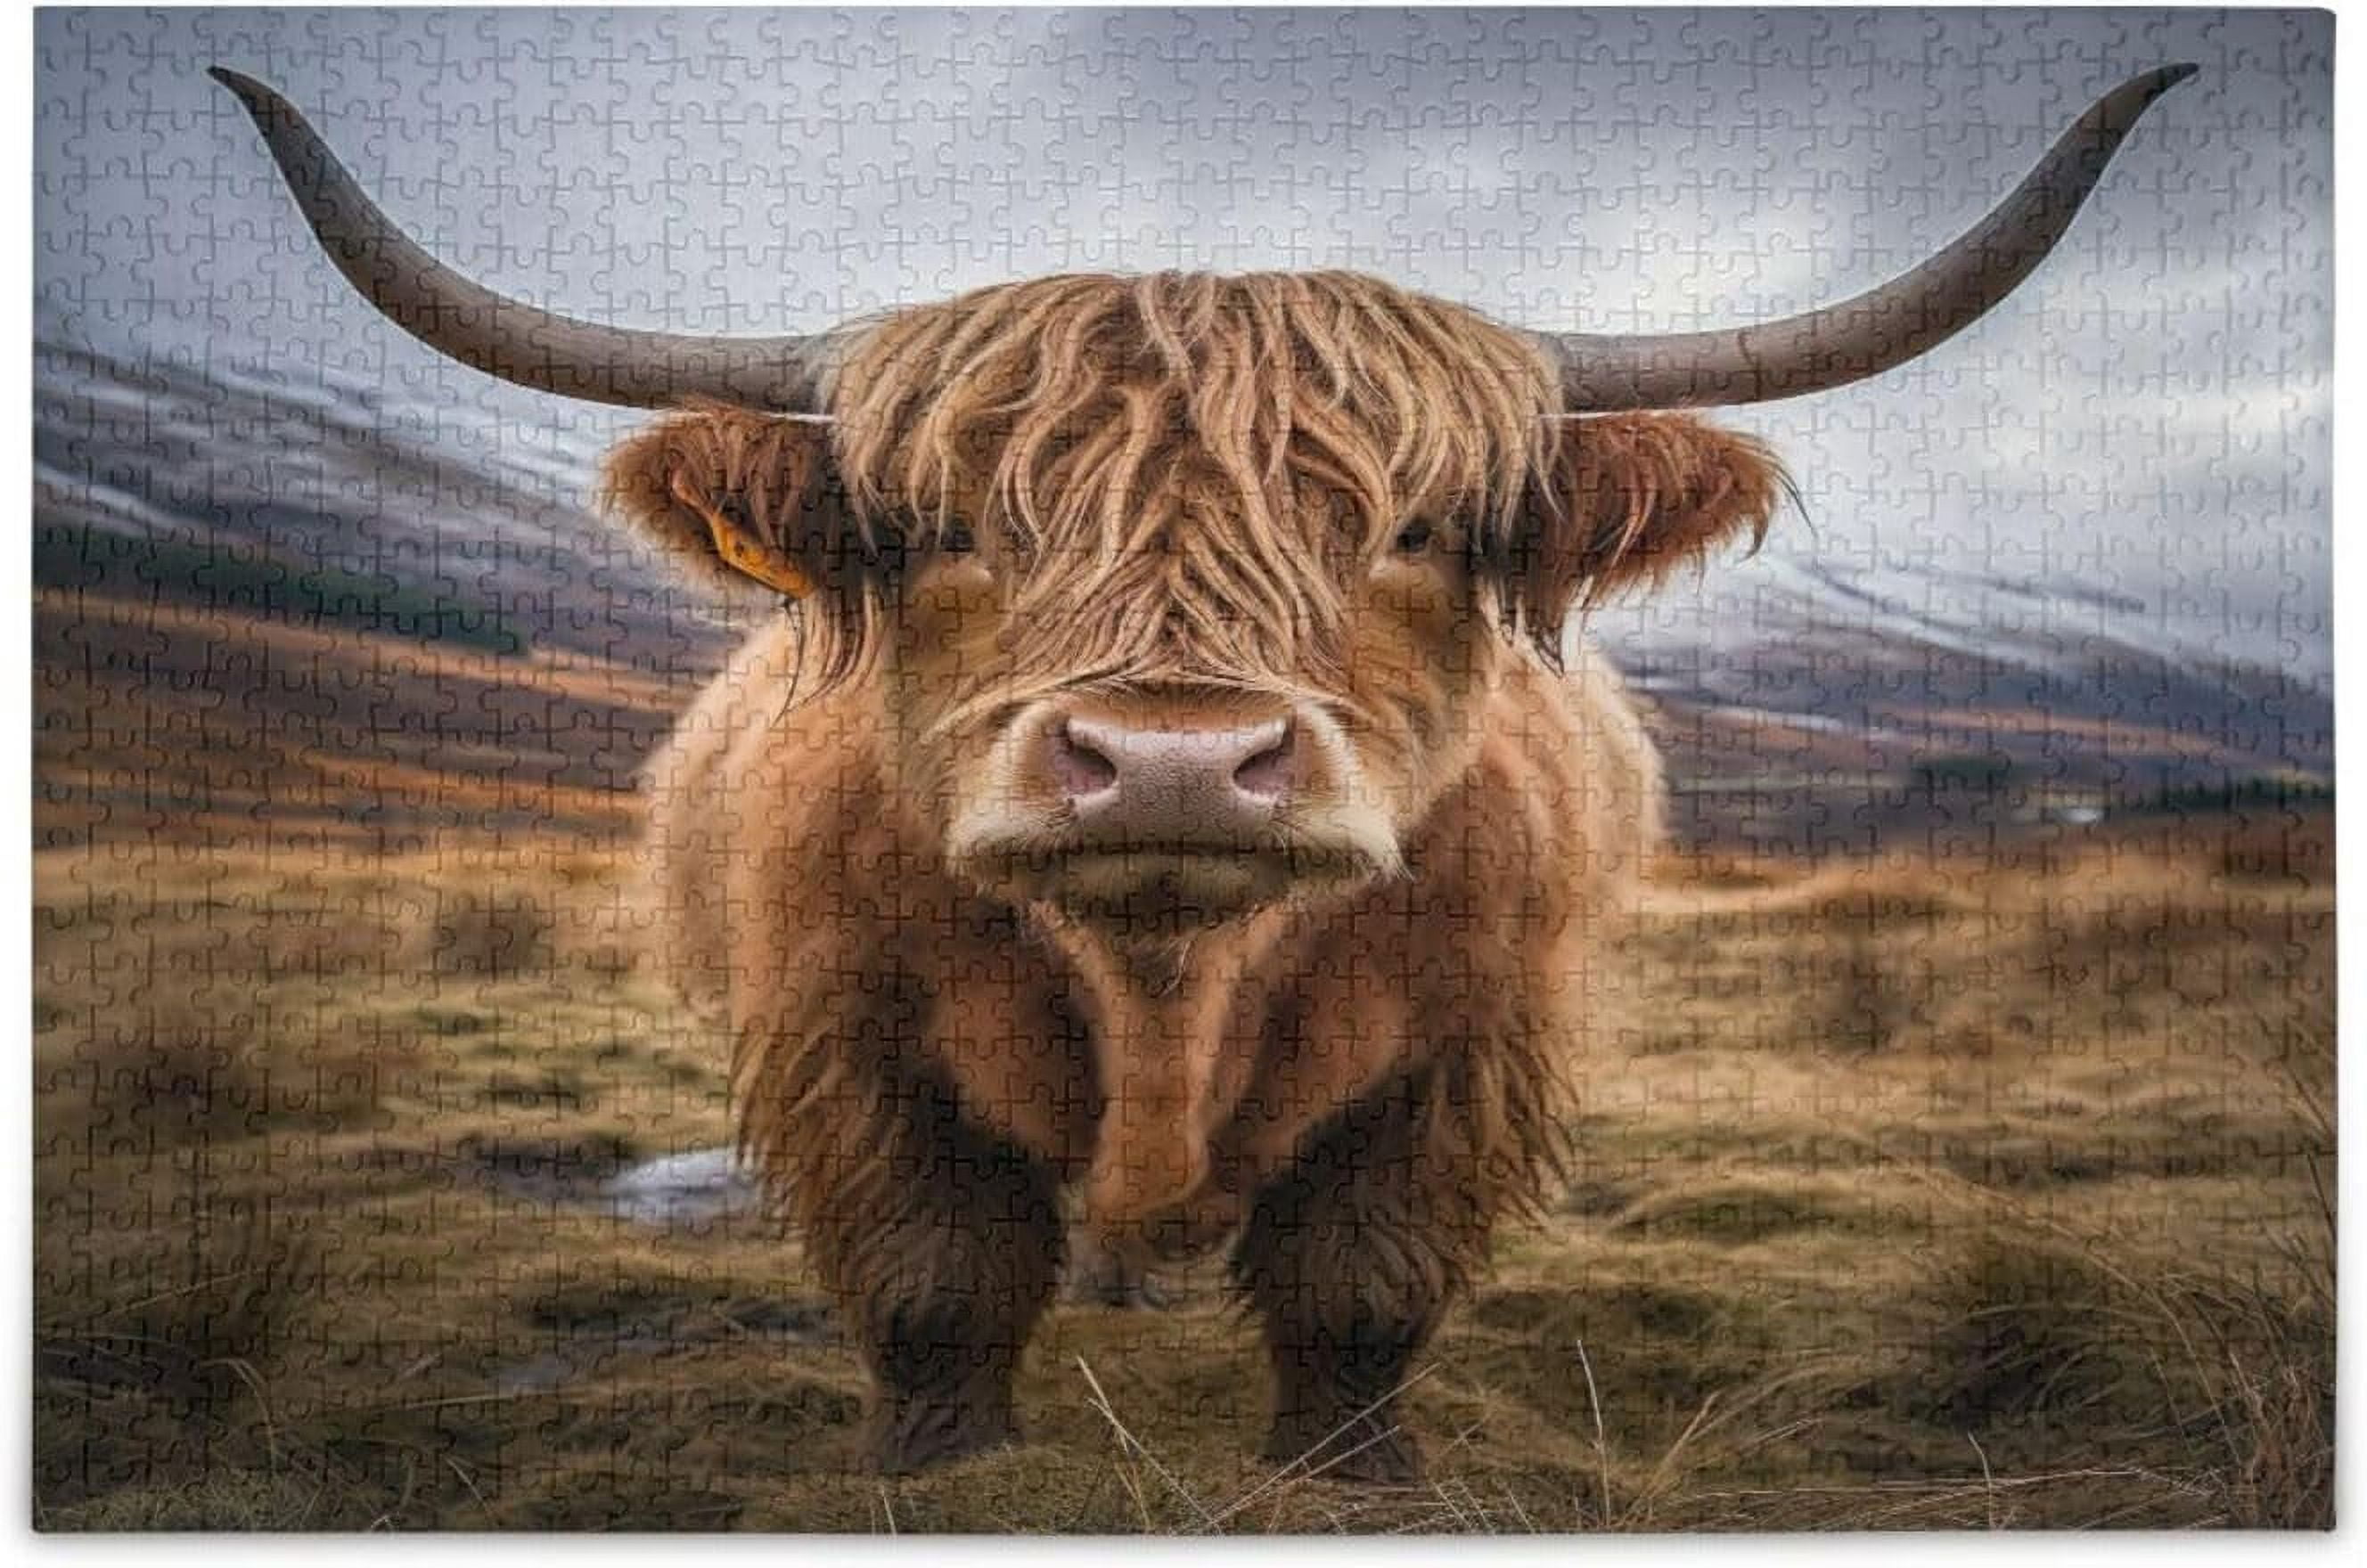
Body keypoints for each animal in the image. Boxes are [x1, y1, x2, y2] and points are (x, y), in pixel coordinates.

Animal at [215, 64, 2193, 1479]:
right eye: (941, 529)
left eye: (1415, 528)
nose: (1170, 762)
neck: (1164, 985)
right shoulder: (846, 1044)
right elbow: (935, 1287)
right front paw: (937, 1473)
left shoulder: (1461, 1054)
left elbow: (1360, 1293)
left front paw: (1352, 1479)